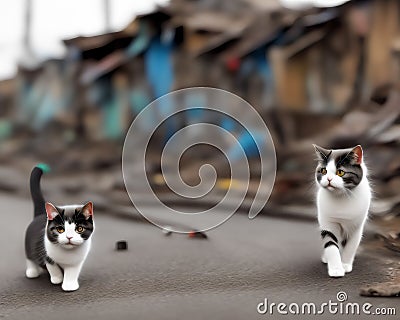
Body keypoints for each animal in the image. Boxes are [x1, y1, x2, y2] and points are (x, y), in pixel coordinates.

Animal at [312, 145, 372, 278]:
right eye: (323, 171)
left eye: (340, 172)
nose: (329, 179)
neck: (341, 197)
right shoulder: (328, 223)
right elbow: (331, 245)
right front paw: (336, 269)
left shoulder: (356, 226)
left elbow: (351, 246)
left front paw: (345, 265)